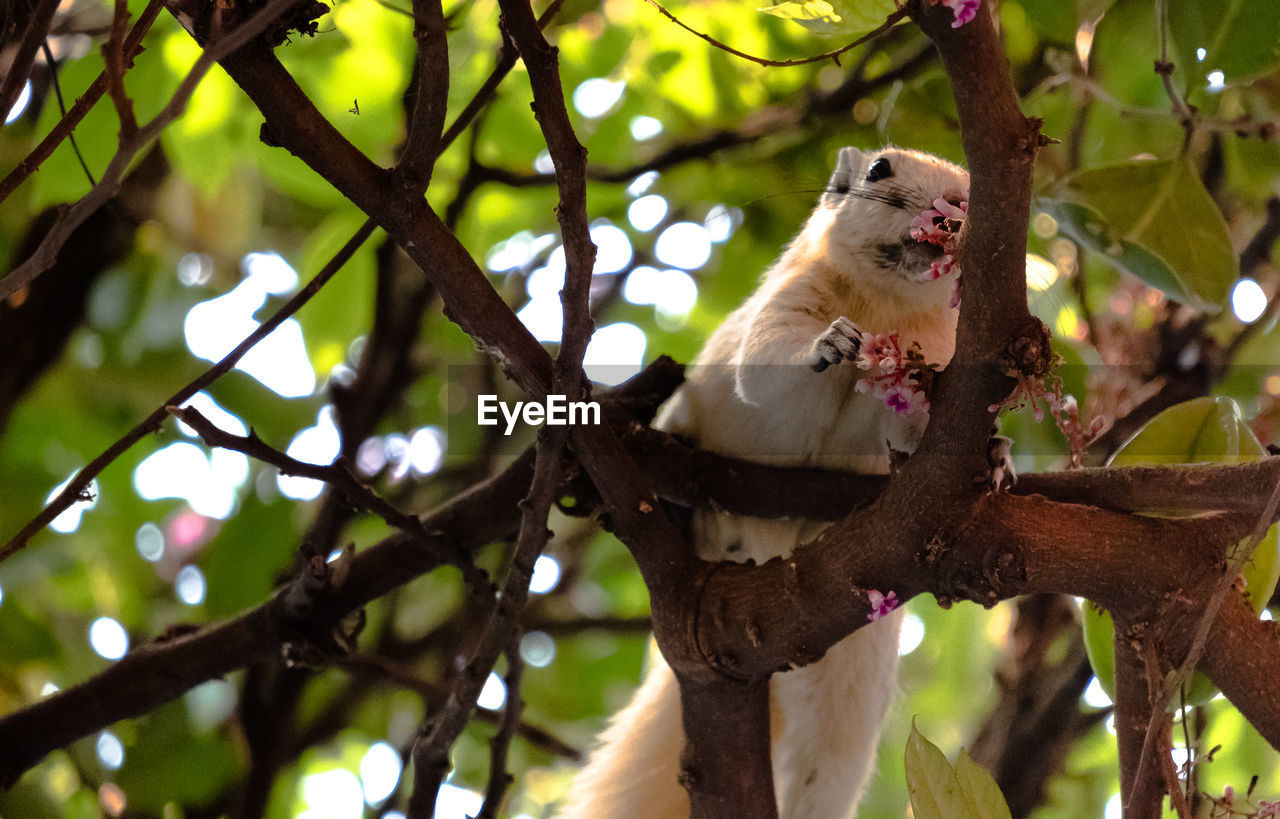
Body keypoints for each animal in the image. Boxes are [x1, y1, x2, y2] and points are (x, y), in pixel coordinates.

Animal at [558, 147, 967, 819]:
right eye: (879, 169)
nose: (950, 208)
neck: (887, 302)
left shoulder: (937, 350)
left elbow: (913, 435)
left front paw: (995, 453)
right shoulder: (788, 301)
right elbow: (766, 367)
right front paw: (830, 343)